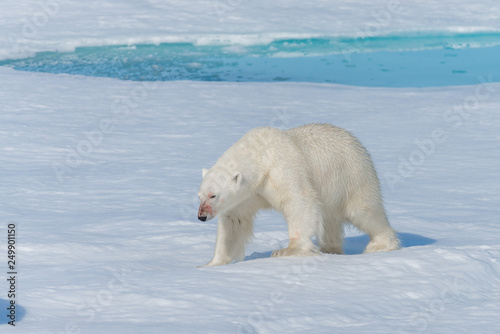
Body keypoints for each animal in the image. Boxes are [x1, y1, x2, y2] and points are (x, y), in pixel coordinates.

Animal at [197, 122, 400, 266]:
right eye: (199, 196)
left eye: (213, 195)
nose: (201, 216)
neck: (260, 155)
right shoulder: (249, 194)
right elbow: (234, 221)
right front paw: (209, 264)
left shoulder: (283, 168)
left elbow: (300, 201)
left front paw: (286, 250)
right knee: (330, 221)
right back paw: (331, 249)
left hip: (352, 176)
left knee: (364, 211)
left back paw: (381, 244)